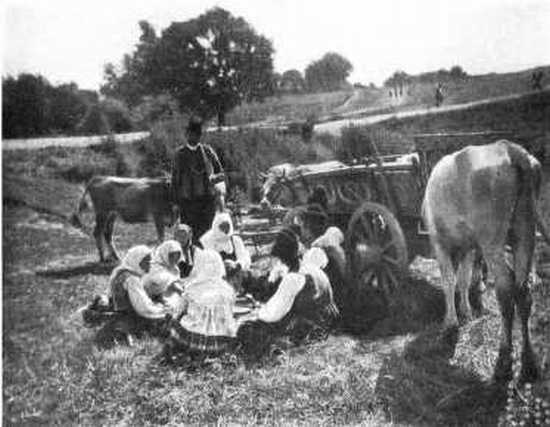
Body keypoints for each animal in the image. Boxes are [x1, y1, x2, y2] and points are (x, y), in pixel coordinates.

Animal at [424, 141, 548, 384]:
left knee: (506, 289)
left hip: (491, 241)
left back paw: (503, 362)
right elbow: (462, 280)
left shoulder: (439, 243)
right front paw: (466, 312)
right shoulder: (469, 247)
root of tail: (510, 149)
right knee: (523, 291)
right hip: (525, 232)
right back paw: (529, 364)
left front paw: (450, 324)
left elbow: (449, 282)